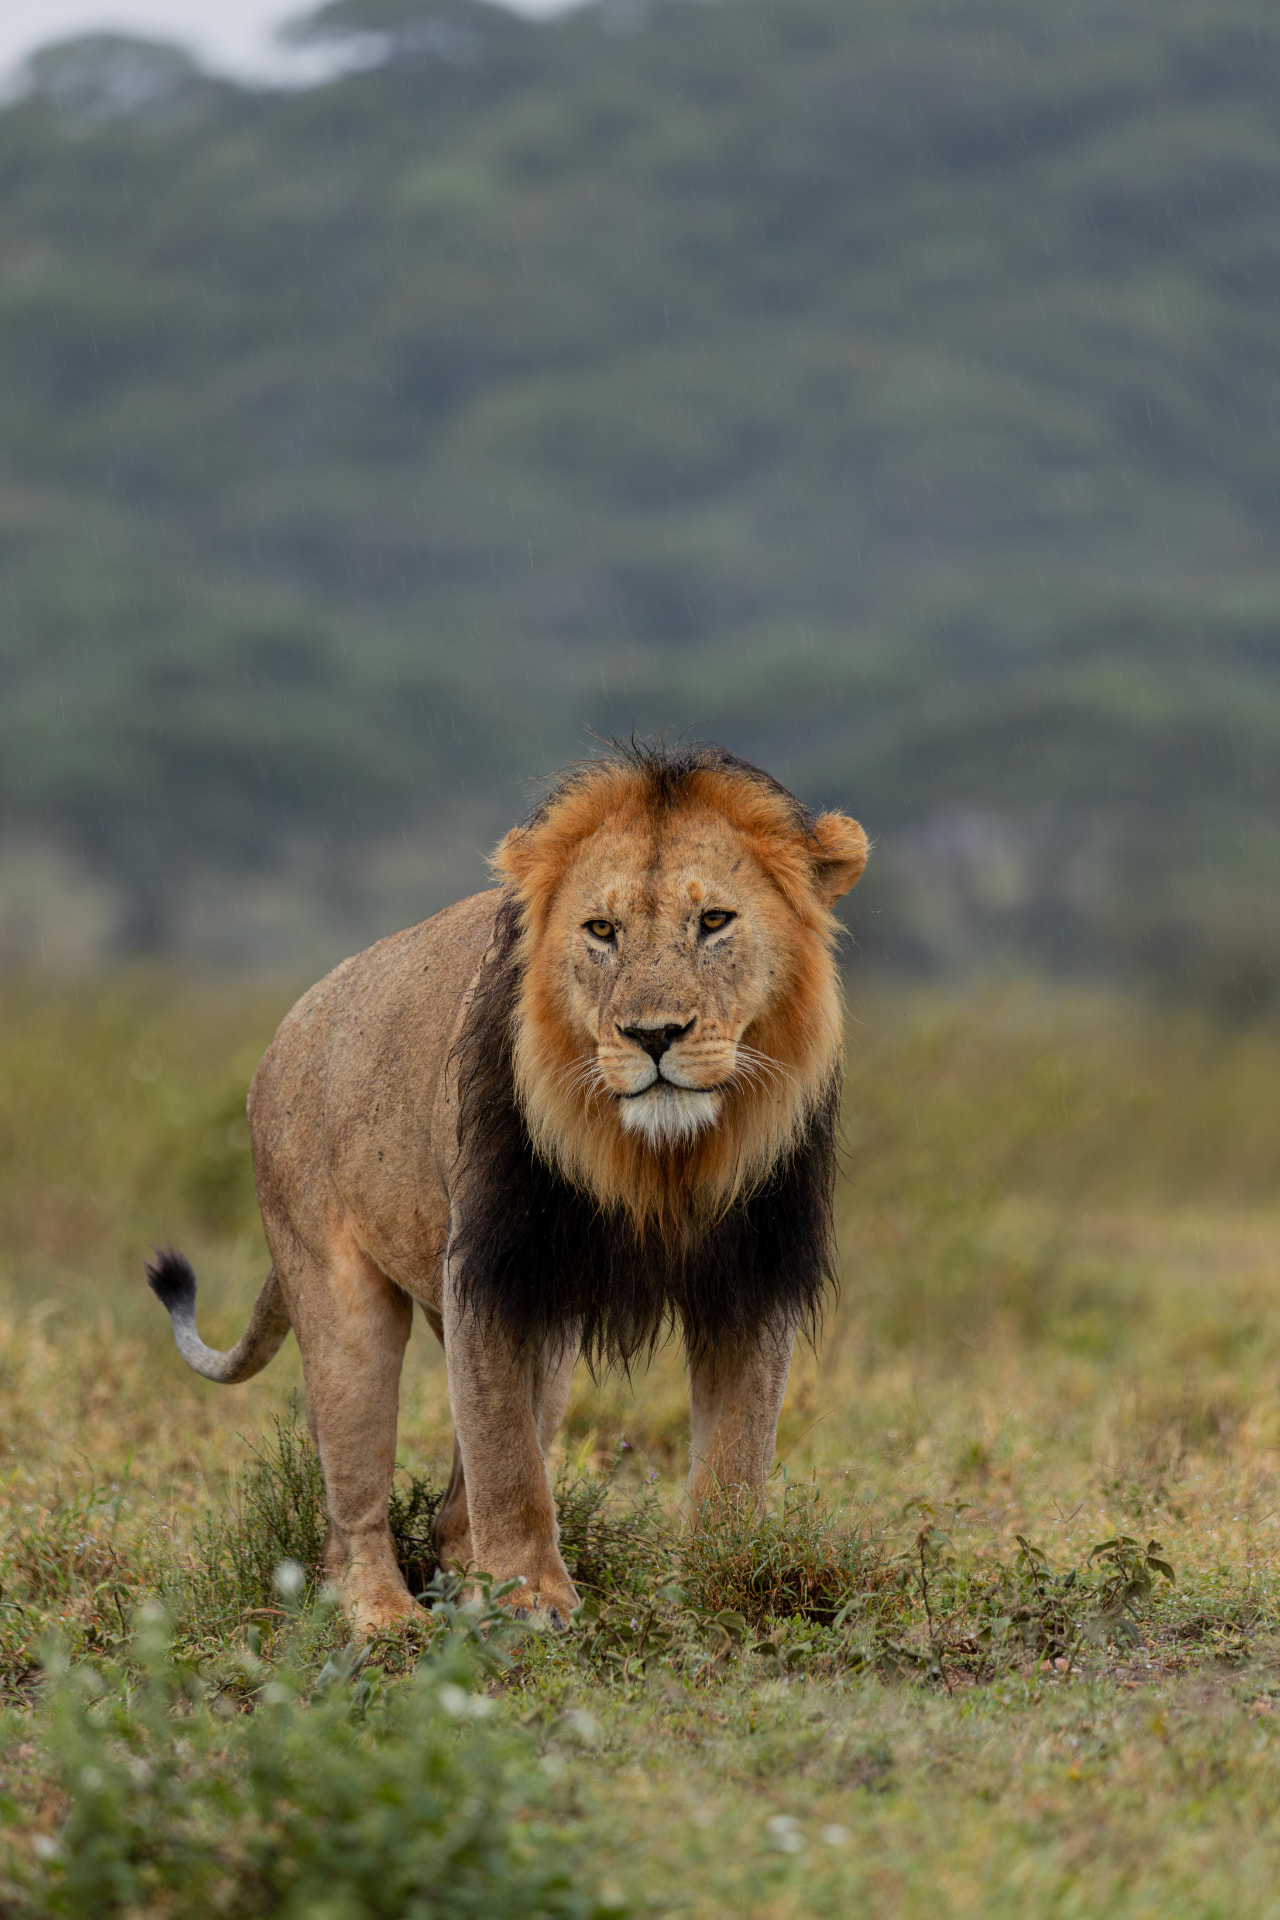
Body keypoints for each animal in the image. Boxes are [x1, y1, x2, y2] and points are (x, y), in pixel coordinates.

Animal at [147, 741, 868, 1632]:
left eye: (714, 922)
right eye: (602, 931)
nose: (653, 1035)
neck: (658, 1163)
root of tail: (286, 1032)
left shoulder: (753, 1273)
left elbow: (737, 1453)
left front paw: (720, 1585)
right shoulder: (490, 1271)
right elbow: (507, 1457)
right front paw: (529, 1597)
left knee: (452, 1505)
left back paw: (460, 1583)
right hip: (336, 1288)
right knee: (352, 1505)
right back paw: (386, 1615)